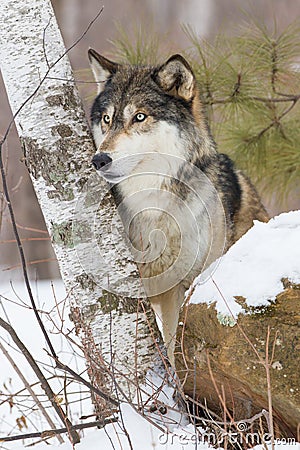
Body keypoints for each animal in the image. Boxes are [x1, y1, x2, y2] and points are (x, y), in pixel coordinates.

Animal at [88, 50, 268, 366]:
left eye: (139, 116)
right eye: (107, 119)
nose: (99, 160)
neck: (150, 207)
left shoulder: (179, 289)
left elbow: (174, 346)